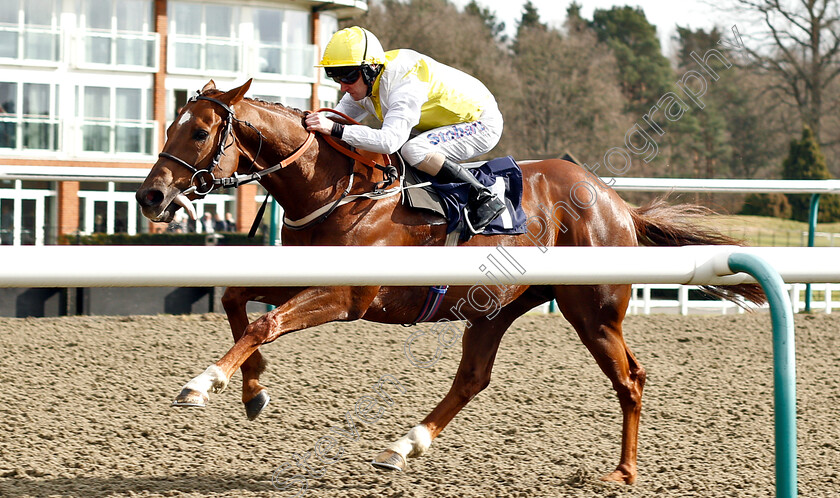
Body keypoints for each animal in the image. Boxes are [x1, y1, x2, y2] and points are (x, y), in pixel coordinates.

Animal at [135, 80, 764, 484]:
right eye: (169, 126)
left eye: (198, 132)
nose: (150, 196)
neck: (337, 187)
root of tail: (615, 201)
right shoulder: (303, 280)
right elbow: (238, 301)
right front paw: (253, 389)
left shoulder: (344, 295)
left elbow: (264, 323)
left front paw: (205, 382)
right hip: (495, 308)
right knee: (473, 378)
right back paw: (403, 445)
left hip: (592, 310)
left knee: (629, 379)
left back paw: (624, 471)